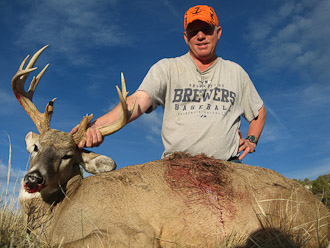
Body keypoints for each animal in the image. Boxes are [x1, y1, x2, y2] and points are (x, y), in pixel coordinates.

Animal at [14, 47, 328, 248]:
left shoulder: (136, 235)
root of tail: (322, 210)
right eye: (35, 147)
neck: (61, 211)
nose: (33, 178)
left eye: (68, 156)